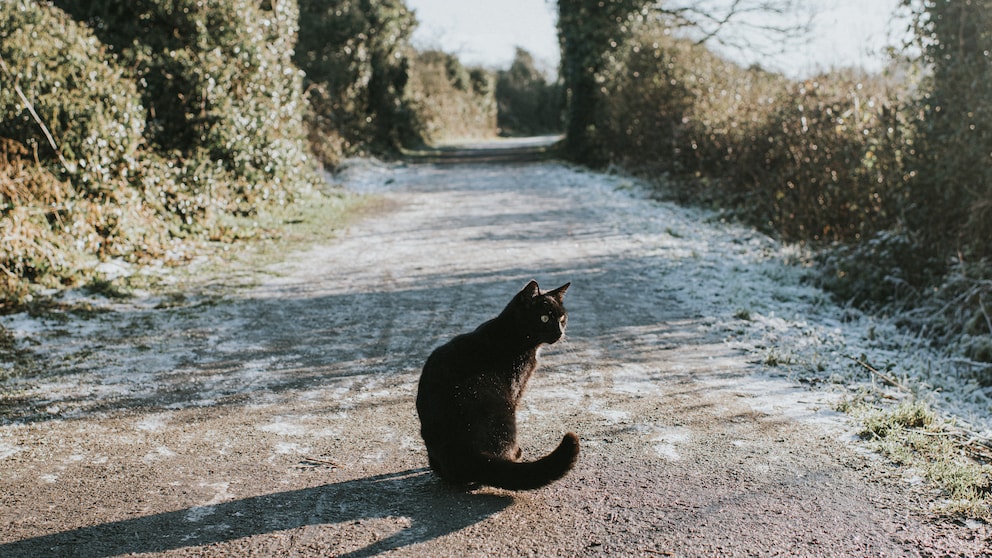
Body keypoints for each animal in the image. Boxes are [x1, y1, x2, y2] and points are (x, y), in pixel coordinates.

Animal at [412, 280, 576, 490]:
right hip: (503, 411)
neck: (512, 334)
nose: (559, 332)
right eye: (545, 318)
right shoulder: (516, 388)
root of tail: (469, 454)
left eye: (562, 318)